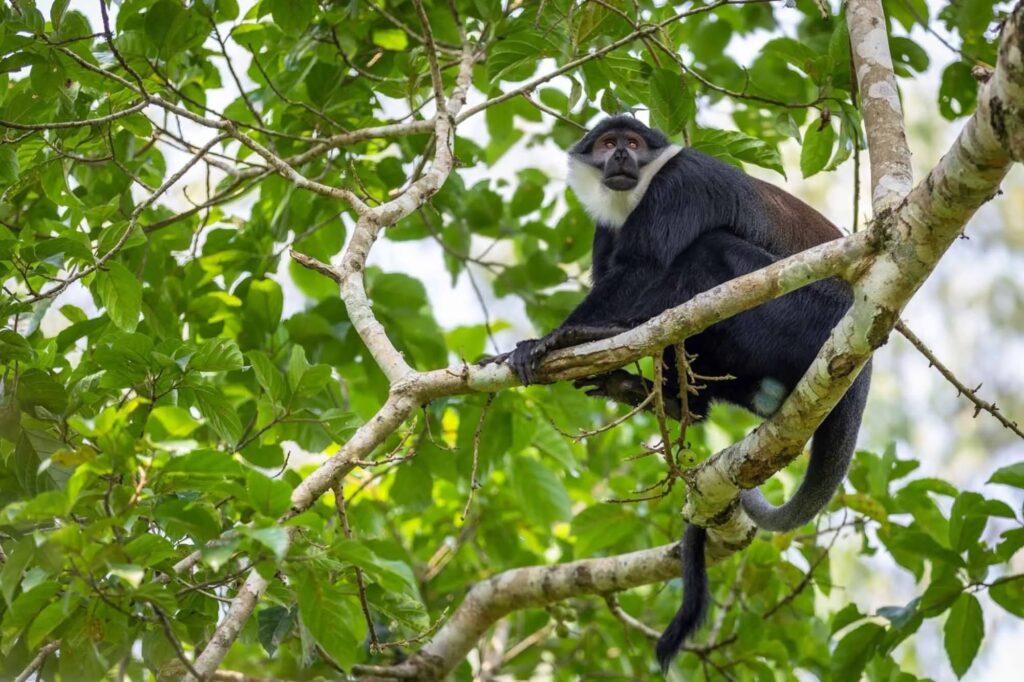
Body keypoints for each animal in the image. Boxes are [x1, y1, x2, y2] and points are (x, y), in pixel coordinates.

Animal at [484, 115, 871, 671]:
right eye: (607, 143)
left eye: (633, 142)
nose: (621, 156)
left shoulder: (679, 185)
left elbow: (642, 268)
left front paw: (556, 339)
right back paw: (660, 394)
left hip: (804, 317)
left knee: (710, 251)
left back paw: (605, 338)